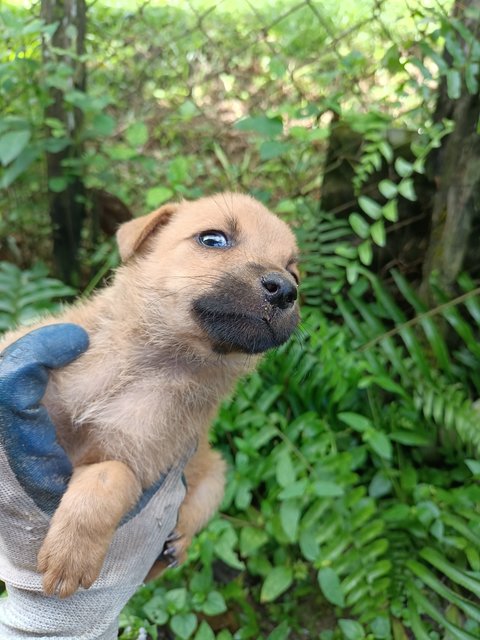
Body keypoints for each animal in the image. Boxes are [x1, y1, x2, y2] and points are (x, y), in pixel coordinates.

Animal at [0, 192, 300, 596]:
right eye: (213, 239)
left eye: (293, 271)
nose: (285, 290)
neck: (143, 368)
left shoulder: (142, 460)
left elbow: (110, 477)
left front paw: (71, 555)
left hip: (214, 477)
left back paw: (173, 548)